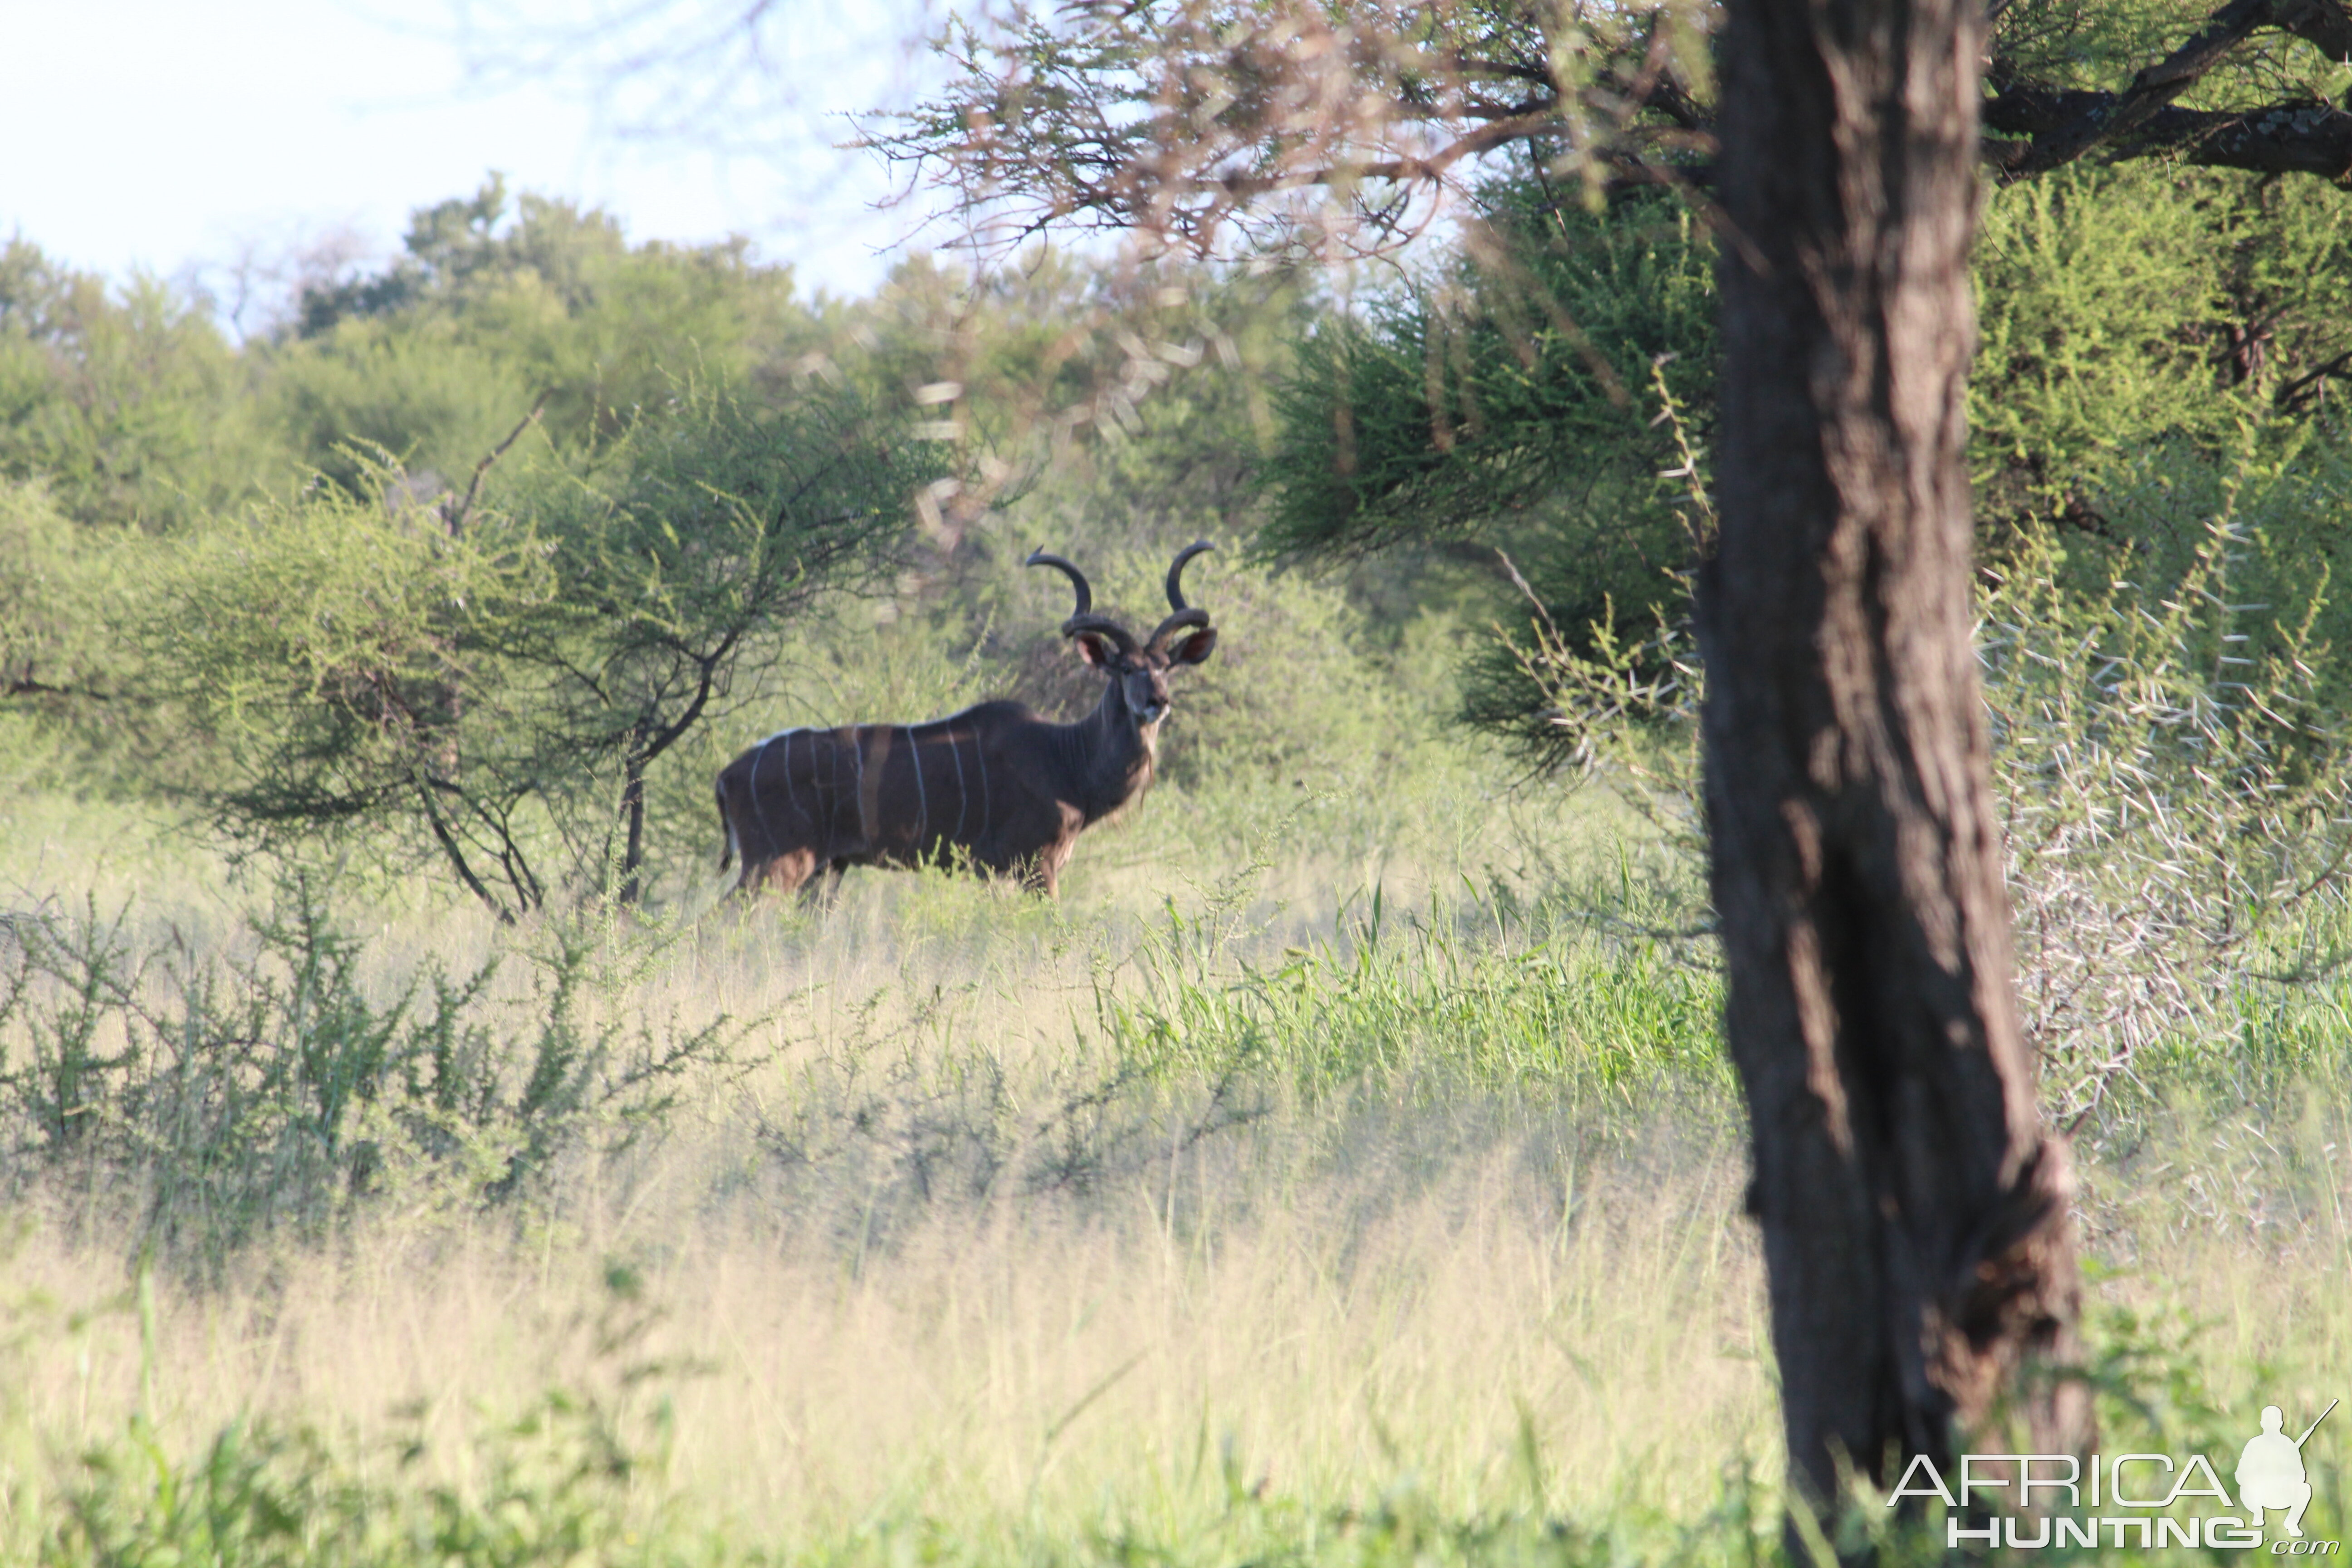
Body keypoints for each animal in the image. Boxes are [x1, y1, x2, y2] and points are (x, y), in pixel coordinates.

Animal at [715, 545, 1223, 902]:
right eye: (1126, 669)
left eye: (1166, 666)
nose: (1158, 702)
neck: (1066, 759)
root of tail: (726, 776)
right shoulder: (1035, 866)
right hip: (775, 865)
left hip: (826, 868)